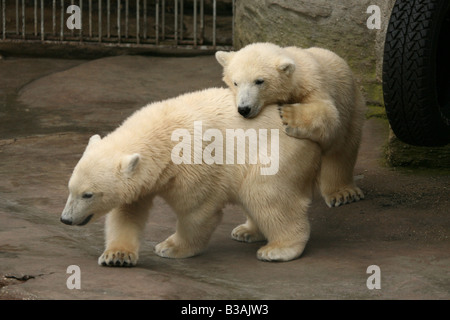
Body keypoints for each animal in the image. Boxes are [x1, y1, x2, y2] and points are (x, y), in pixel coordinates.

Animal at [60, 87, 320, 264]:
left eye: (88, 195)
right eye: (70, 189)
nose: (65, 219)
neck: (162, 136)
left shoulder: (194, 161)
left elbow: (197, 210)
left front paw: (170, 247)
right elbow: (128, 211)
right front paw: (117, 255)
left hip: (275, 153)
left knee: (266, 195)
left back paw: (278, 249)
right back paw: (247, 231)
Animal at [216, 42, 368, 208]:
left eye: (259, 81)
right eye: (235, 83)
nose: (244, 109)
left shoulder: (314, 86)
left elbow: (329, 115)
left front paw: (287, 114)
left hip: (351, 104)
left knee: (342, 149)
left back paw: (343, 193)